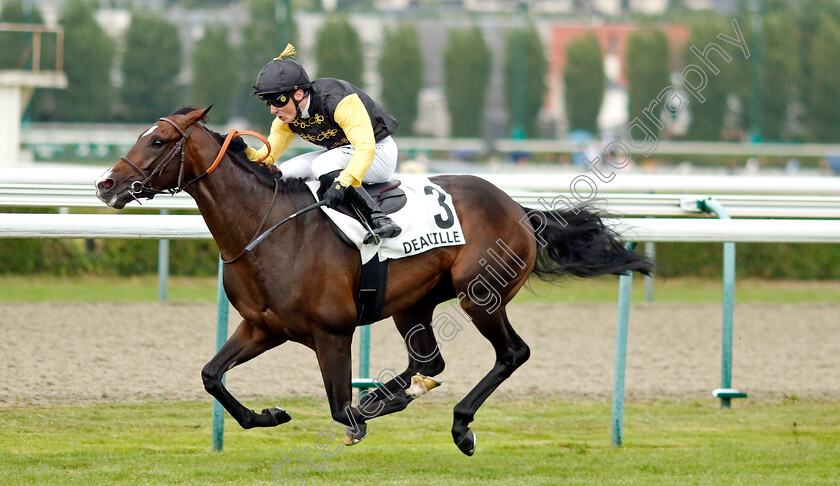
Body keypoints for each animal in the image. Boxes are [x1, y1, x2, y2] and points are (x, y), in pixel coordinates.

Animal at [93, 106, 656, 456]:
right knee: (428, 363)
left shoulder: (333, 332)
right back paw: (394, 396)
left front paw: (360, 414)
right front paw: (269, 415)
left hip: (481, 296)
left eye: (158, 140)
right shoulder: (262, 327)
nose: (106, 183)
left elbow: (339, 408)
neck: (265, 228)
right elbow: (212, 375)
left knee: (510, 353)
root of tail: (520, 210)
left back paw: (458, 424)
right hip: (414, 304)